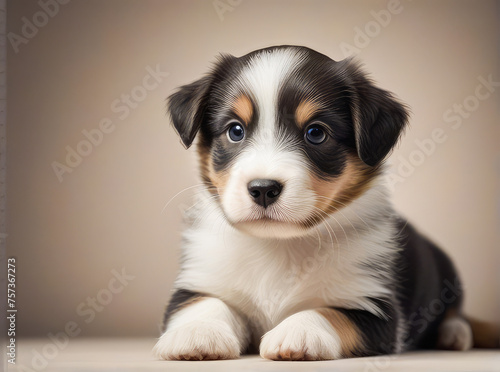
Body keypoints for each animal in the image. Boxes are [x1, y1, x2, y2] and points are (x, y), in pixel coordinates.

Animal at [153, 44, 476, 360]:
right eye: (235, 130)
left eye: (316, 133)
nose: (263, 189)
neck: (278, 246)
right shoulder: (199, 278)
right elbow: (203, 302)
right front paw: (197, 332)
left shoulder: (375, 306)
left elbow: (328, 312)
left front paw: (298, 331)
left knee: (454, 311)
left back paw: (455, 334)